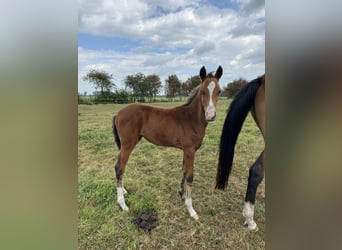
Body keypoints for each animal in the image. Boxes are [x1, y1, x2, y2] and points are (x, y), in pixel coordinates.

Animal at [113, 65, 223, 220]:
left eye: (219, 91)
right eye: (202, 91)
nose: (211, 115)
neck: (191, 119)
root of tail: (118, 113)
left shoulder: (186, 150)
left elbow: (184, 171)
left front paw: (182, 195)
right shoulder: (190, 150)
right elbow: (190, 176)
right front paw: (191, 210)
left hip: (124, 145)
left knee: (118, 166)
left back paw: (123, 191)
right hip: (128, 144)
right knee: (120, 168)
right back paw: (122, 204)